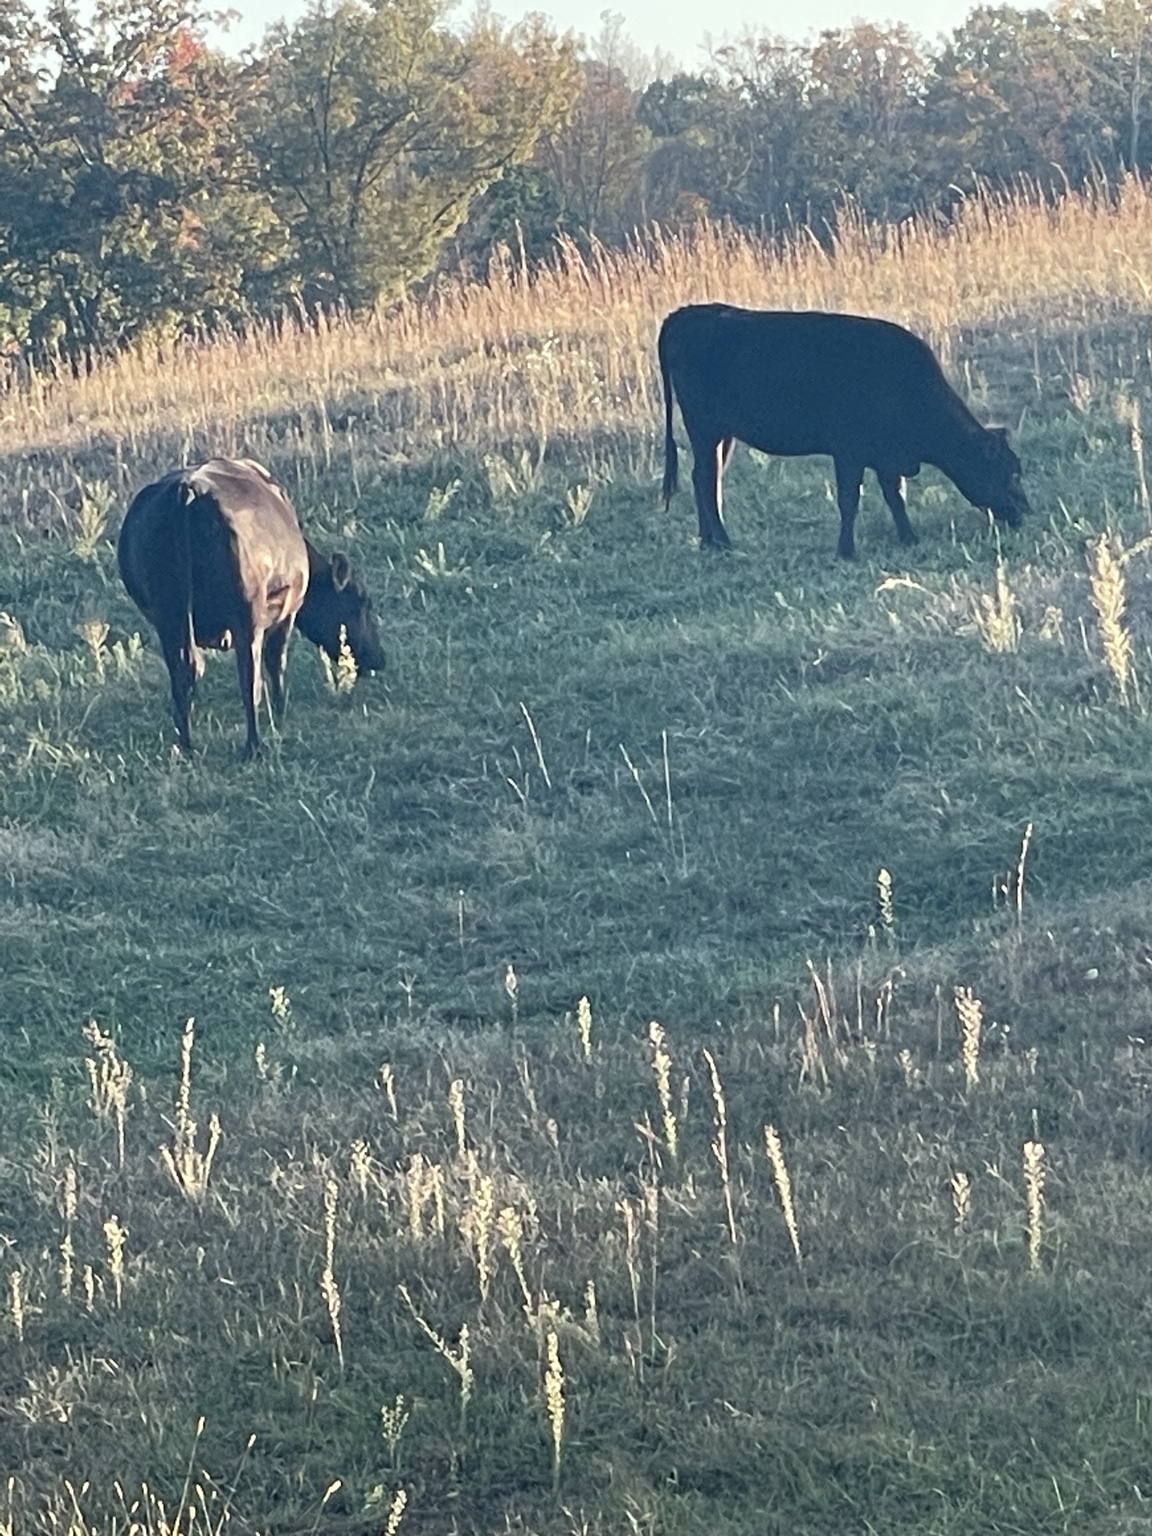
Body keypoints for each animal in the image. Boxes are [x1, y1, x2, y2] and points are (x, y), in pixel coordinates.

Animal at [117, 457, 385, 757]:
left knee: (183, 675)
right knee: (249, 678)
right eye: (361, 601)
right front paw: (280, 714)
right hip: (247, 617)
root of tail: (189, 489)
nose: (379, 658)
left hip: (170, 618)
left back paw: (187, 747)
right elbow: (276, 661)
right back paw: (254, 746)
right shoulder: (286, 614)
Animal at [658, 304, 1031, 558]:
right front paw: (846, 551)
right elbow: (850, 500)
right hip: (705, 428)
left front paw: (908, 538)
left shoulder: (886, 456)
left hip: (722, 434)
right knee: (706, 478)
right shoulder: (849, 451)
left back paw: (709, 540)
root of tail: (687, 313)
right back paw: (721, 541)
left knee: (704, 477)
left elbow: (895, 496)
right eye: (1010, 472)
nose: (1026, 512)